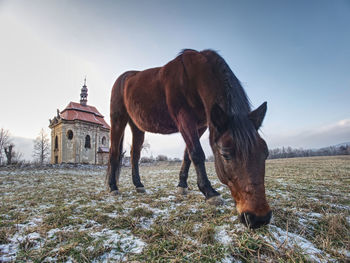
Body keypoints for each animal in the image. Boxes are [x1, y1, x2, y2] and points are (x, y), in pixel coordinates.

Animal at [108, 49, 272, 229]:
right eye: (225, 154)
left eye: (265, 153)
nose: (259, 217)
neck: (193, 76)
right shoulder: (185, 119)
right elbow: (197, 154)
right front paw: (210, 192)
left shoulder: (200, 126)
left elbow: (188, 155)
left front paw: (182, 186)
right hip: (118, 120)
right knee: (114, 152)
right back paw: (113, 187)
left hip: (137, 126)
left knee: (135, 155)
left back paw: (138, 185)